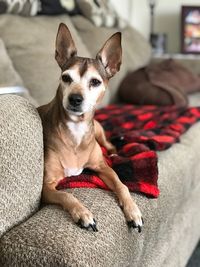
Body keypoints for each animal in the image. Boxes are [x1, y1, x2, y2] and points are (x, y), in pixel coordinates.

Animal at [37, 22, 143, 232]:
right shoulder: (47, 187)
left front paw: (133, 210)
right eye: (66, 78)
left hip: (100, 132)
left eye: (95, 82)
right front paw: (83, 214)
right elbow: (66, 194)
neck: (76, 129)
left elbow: (122, 185)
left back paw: (114, 152)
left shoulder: (102, 167)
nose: (75, 99)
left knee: (109, 145)